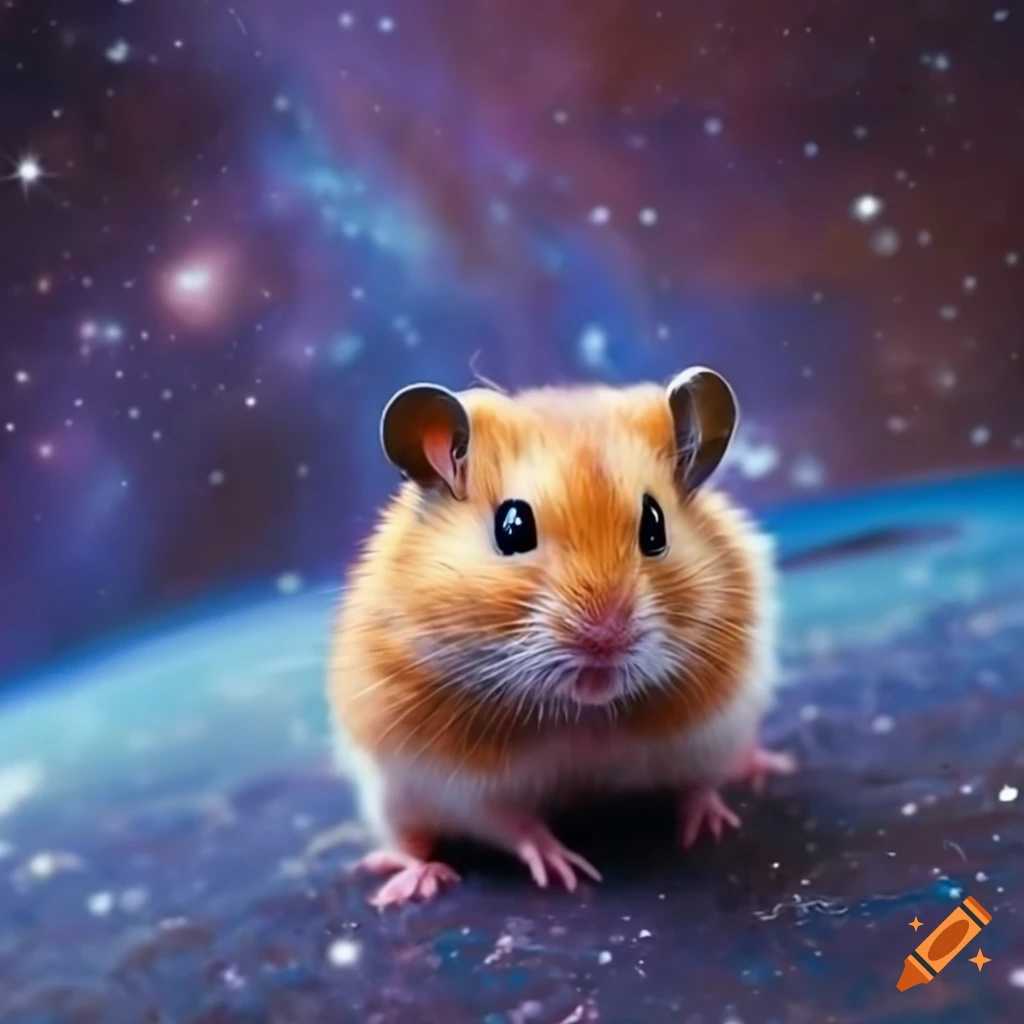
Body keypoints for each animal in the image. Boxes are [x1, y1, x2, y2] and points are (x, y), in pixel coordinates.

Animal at [328, 367, 794, 908]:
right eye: (512, 528)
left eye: (654, 527)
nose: (606, 638)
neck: (583, 716)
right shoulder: (464, 787)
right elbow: (514, 826)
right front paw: (567, 870)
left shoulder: (713, 729)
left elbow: (700, 785)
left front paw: (709, 828)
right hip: (389, 796)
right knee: (407, 840)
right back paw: (410, 882)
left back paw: (765, 766)